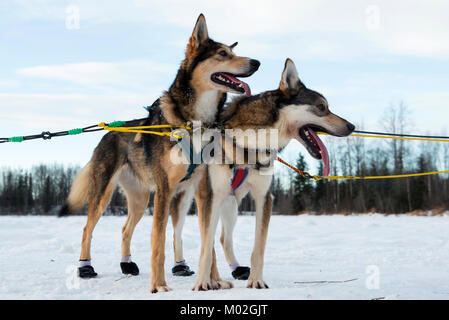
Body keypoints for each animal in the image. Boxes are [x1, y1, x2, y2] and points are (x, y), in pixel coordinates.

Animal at [61, 14, 260, 292]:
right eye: (222, 53)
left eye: (233, 52)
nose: (257, 62)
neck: (195, 122)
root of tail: (108, 132)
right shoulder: (165, 189)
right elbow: (159, 240)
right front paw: (159, 285)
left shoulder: (204, 191)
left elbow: (207, 239)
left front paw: (214, 280)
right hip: (104, 194)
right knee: (86, 228)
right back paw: (85, 267)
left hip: (141, 198)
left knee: (125, 229)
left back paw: (127, 264)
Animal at [191, 58, 356, 290]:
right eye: (322, 107)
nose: (351, 126)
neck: (250, 145)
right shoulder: (212, 196)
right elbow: (206, 248)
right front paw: (202, 282)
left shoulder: (264, 197)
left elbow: (259, 247)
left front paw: (256, 280)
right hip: (210, 201)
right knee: (210, 239)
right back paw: (213, 279)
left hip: (232, 204)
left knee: (223, 238)